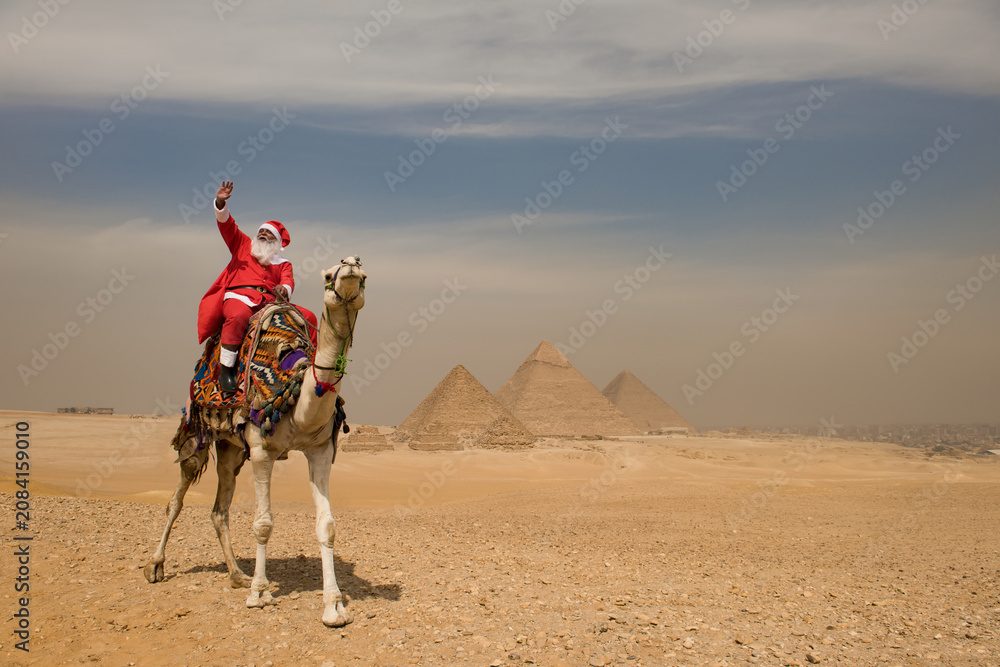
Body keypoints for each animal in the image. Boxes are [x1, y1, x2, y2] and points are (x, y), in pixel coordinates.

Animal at [144, 256, 366, 628]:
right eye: (328, 274)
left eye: (362, 275)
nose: (349, 266)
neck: (296, 394)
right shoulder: (263, 451)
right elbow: (263, 524)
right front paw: (260, 594)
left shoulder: (320, 450)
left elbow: (327, 527)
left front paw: (334, 605)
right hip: (196, 432)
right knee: (176, 499)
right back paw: (156, 565)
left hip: (231, 450)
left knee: (219, 510)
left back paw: (237, 575)